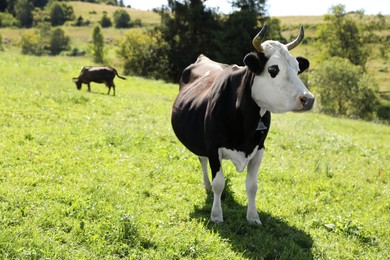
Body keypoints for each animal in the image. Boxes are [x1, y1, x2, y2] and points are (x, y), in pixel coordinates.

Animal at [172, 25, 316, 224]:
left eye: (297, 68)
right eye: (273, 69)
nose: (308, 99)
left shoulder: (260, 149)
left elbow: (252, 186)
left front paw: (253, 216)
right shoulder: (213, 148)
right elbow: (219, 184)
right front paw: (216, 215)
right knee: (202, 160)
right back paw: (207, 185)